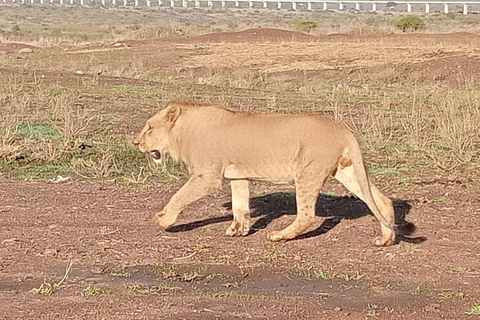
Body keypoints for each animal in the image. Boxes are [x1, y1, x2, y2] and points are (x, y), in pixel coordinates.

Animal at [135, 101, 398, 246]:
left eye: (149, 127)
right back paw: (385, 239)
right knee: (383, 200)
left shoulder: (207, 177)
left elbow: (179, 196)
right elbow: (240, 205)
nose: (136, 142)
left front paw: (163, 219)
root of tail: (344, 130)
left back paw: (279, 236)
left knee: (306, 215)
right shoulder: (238, 175)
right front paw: (238, 230)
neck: (183, 133)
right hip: (346, 170)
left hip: (308, 172)